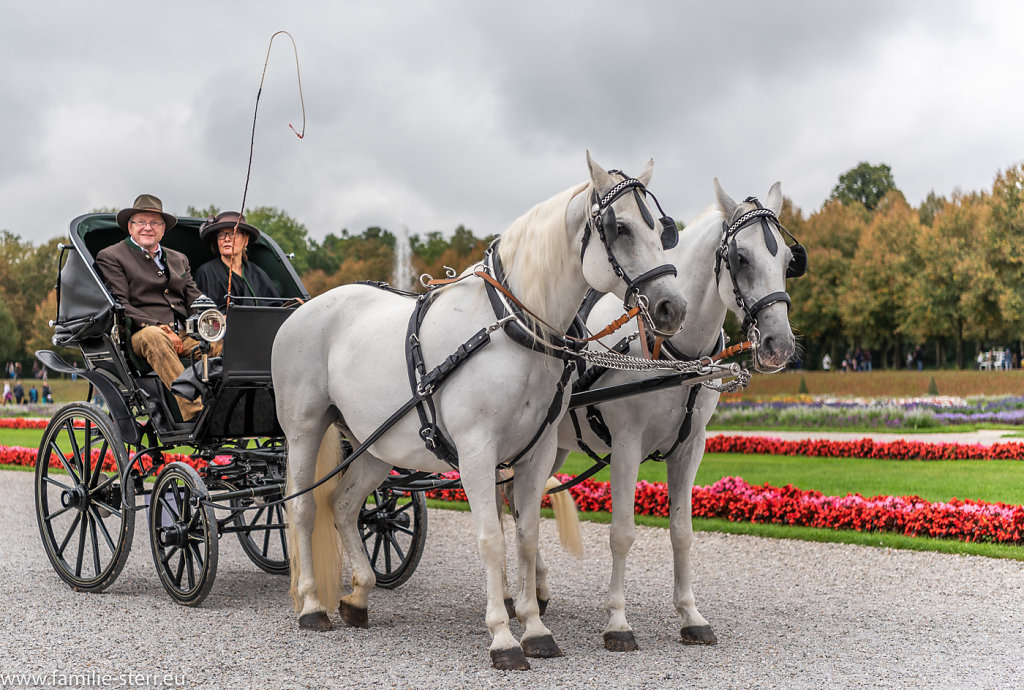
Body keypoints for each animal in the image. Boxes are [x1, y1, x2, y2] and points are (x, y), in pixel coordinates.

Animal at [272, 153, 688, 667]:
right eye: (621, 228)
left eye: (662, 231)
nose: (673, 308)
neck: (516, 329)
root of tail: (304, 307)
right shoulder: (476, 451)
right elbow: (491, 537)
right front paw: (503, 636)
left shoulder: (536, 452)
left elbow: (526, 534)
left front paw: (534, 627)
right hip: (303, 430)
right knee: (303, 507)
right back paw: (312, 604)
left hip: (377, 444)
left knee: (345, 505)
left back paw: (359, 595)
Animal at [544, 179, 798, 651]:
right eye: (741, 257)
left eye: (789, 262)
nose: (779, 345)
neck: (672, 352)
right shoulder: (626, 447)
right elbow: (622, 533)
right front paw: (618, 621)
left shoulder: (690, 446)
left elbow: (682, 532)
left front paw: (690, 615)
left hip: (551, 448)